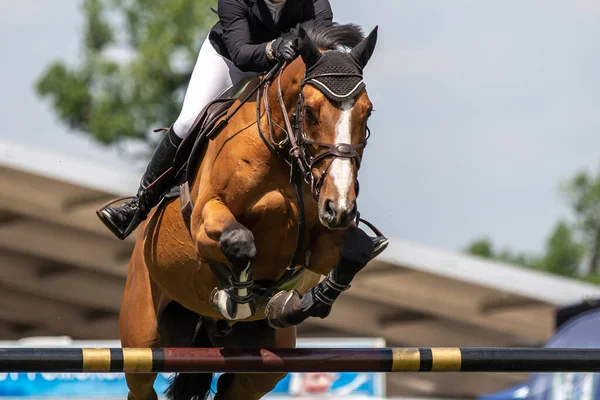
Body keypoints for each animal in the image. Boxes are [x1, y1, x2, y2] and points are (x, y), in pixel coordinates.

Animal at [119, 21, 386, 400]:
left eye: (367, 111)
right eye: (309, 111)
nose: (340, 208)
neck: (283, 153)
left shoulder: (317, 244)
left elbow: (357, 250)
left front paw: (300, 303)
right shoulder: (205, 223)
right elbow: (240, 241)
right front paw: (237, 299)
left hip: (262, 368)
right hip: (142, 338)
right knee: (141, 384)